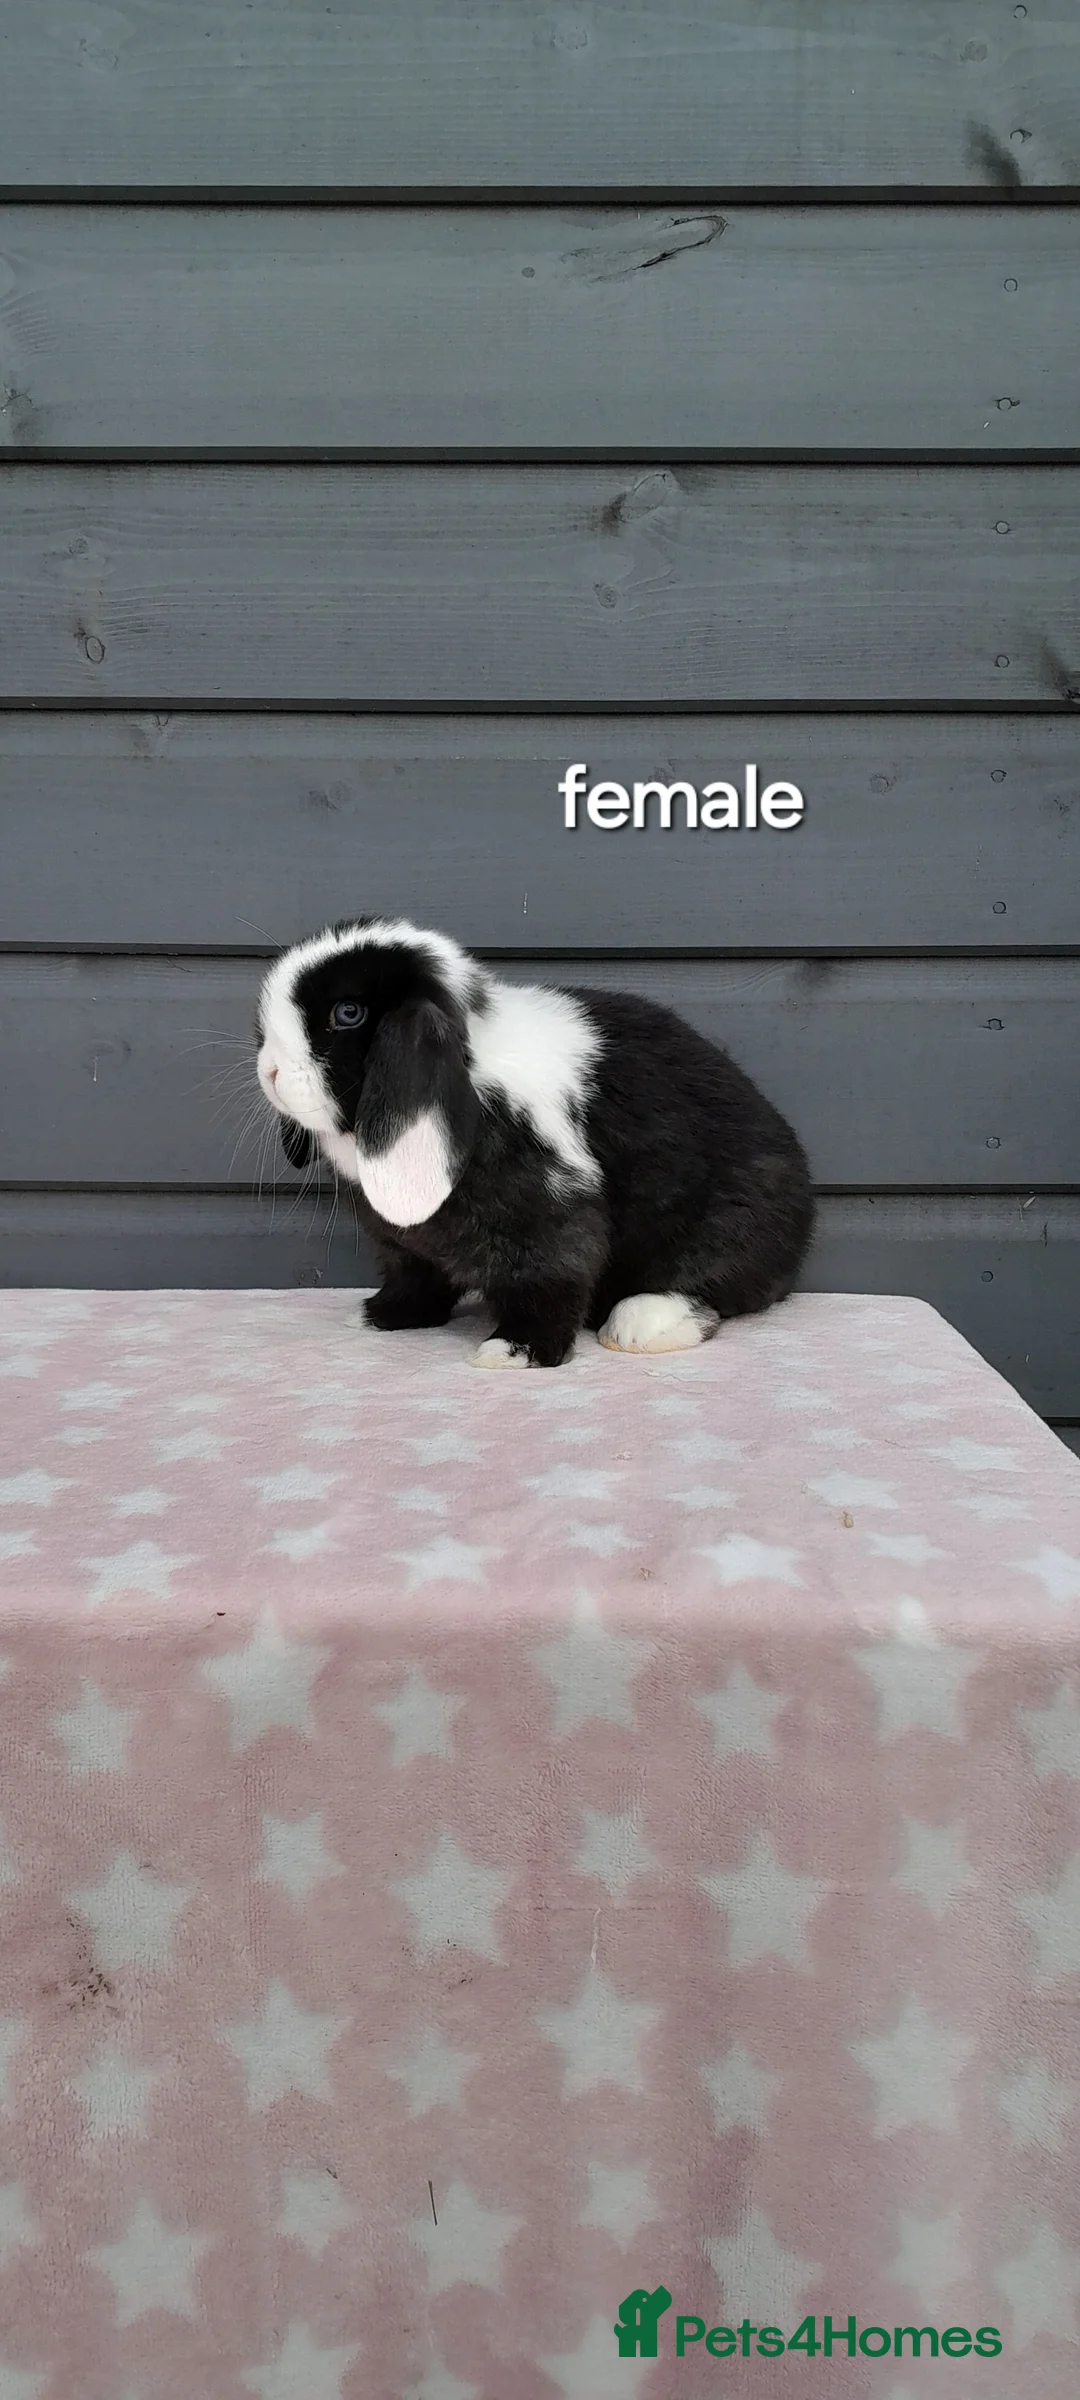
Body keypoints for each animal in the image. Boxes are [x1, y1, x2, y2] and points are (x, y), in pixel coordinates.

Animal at [255, 917, 815, 1368]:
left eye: (347, 1013)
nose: (270, 1072)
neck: (472, 1070)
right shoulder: (403, 1246)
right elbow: (416, 1279)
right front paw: (380, 1316)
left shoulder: (549, 1210)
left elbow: (550, 1280)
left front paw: (515, 1350)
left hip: (732, 1221)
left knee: (712, 1288)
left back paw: (636, 1324)